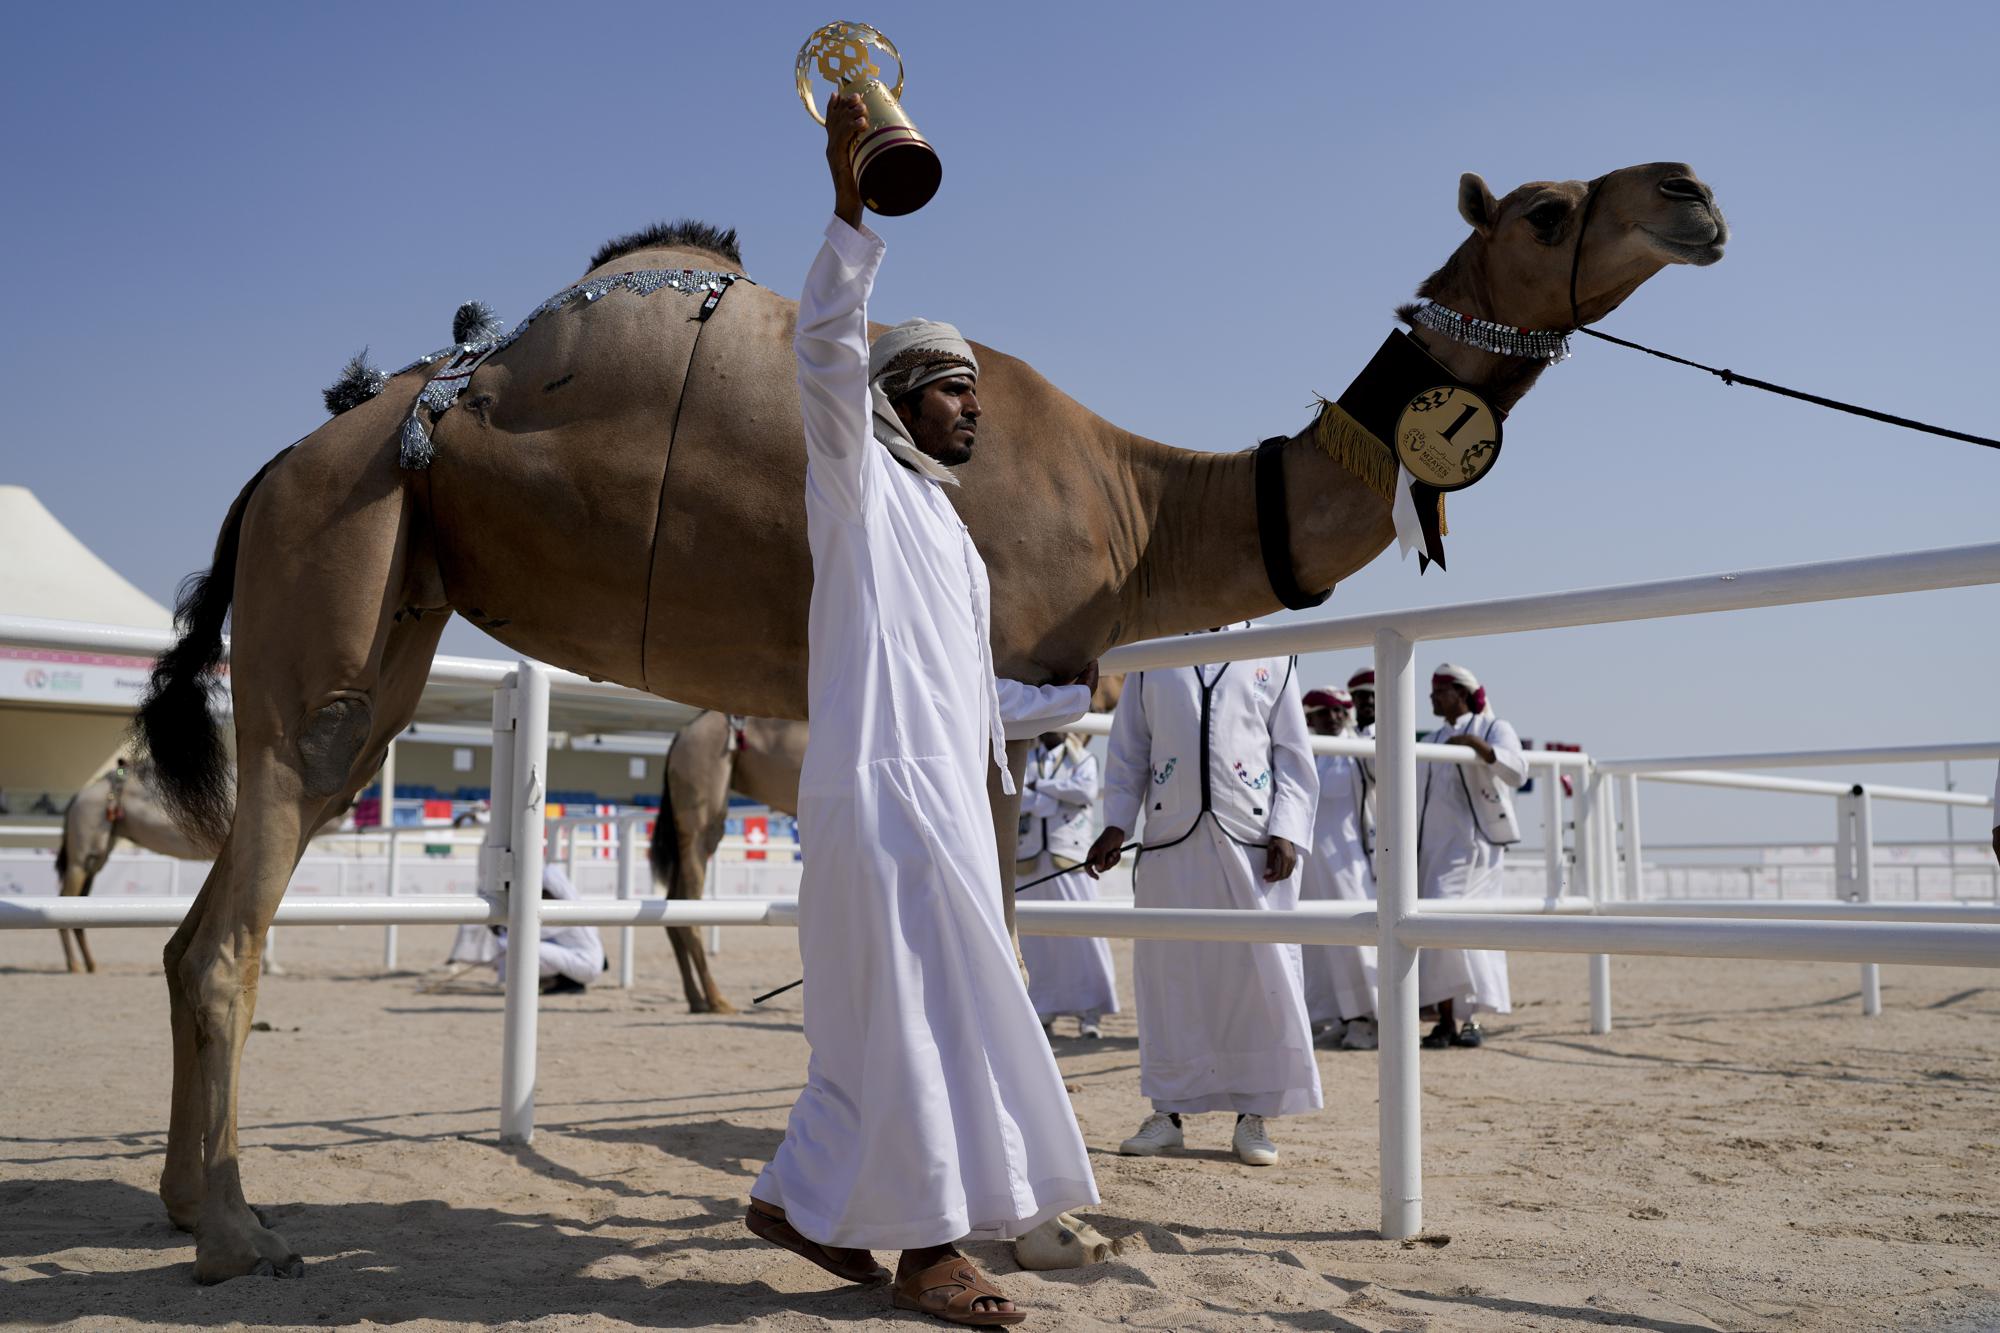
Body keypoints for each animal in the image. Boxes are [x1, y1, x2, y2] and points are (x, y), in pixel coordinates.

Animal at [133, 161, 1720, 1272]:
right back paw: (240, 1231)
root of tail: (284, 461)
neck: (1147, 502)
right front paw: (1046, 1222)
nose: (1690, 191)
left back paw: (180, 1207)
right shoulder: (992, 674)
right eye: (1547, 207)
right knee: (234, 926)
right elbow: (997, 938)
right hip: (348, 554)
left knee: (210, 912)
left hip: (396, 597)